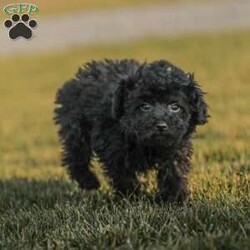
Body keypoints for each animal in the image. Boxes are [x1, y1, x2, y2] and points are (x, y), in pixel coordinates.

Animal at [54, 59, 207, 203]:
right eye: (144, 106)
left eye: (175, 107)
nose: (161, 125)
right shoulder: (114, 149)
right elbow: (123, 175)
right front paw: (131, 197)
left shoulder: (175, 148)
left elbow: (174, 172)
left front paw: (175, 200)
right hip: (76, 127)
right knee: (76, 154)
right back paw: (88, 181)